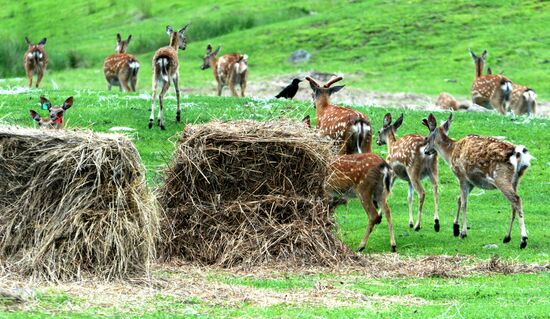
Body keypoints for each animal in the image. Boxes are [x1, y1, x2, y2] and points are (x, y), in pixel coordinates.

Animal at [422, 114, 536, 249]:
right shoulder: (471, 181)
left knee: (516, 200)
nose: (425, 151)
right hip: (516, 180)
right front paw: (455, 228)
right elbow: (459, 199)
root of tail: (519, 154)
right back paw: (507, 237)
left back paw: (523, 240)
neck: (450, 153)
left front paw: (463, 233)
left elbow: (464, 202)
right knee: (514, 203)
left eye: (427, 138)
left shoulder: (461, 175)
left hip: (501, 177)